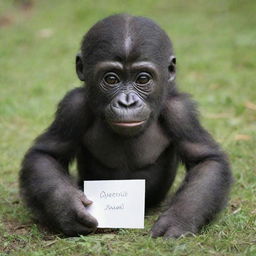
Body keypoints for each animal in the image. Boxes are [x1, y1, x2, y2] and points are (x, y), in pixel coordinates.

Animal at [20, 14, 232, 238]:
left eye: (143, 78)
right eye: (111, 79)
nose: (127, 102)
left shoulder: (181, 113)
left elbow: (206, 160)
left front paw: (178, 220)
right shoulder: (72, 108)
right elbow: (46, 155)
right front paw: (69, 208)